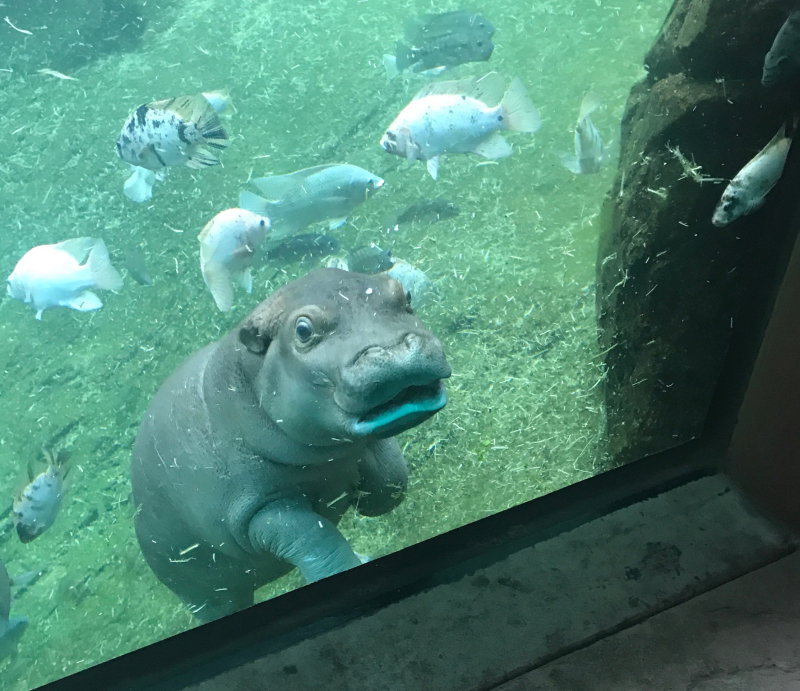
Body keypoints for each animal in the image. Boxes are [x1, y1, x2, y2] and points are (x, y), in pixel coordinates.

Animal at [131, 268, 451, 621]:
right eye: (303, 330)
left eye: (404, 294)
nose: (394, 352)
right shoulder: (257, 508)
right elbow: (315, 537)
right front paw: (350, 563)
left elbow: (393, 481)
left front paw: (361, 494)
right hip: (205, 594)